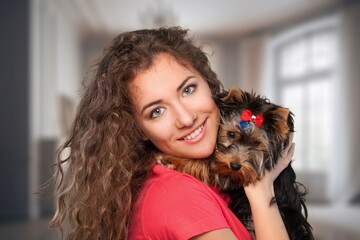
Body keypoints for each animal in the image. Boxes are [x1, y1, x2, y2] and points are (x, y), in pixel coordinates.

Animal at [156, 87, 314, 239]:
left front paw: (170, 158)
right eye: (231, 134)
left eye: (256, 143)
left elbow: (208, 165)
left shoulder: (236, 176)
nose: (235, 166)